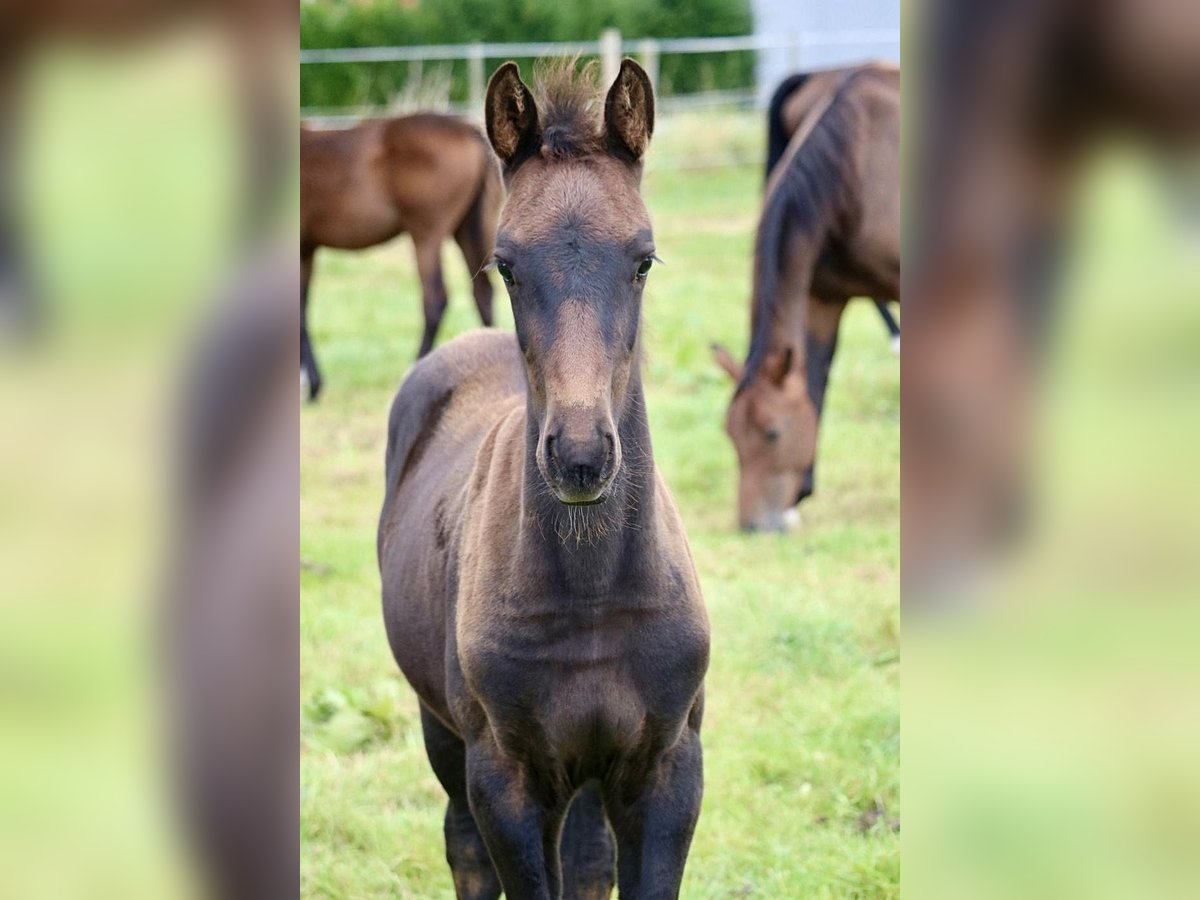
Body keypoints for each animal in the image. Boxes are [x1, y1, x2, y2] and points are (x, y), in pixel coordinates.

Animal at [304, 112, 506, 398]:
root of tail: (468, 129)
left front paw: (311, 384)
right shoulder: (307, 248)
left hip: (426, 235)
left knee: (436, 298)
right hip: (466, 230)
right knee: (482, 293)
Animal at [379, 58, 705, 900]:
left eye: (644, 258)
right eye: (507, 263)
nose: (580, 455)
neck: (590, 593)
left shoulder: (667, 768)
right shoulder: (509, 778)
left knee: (588, 858)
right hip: (443, 731)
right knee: (462, 845)